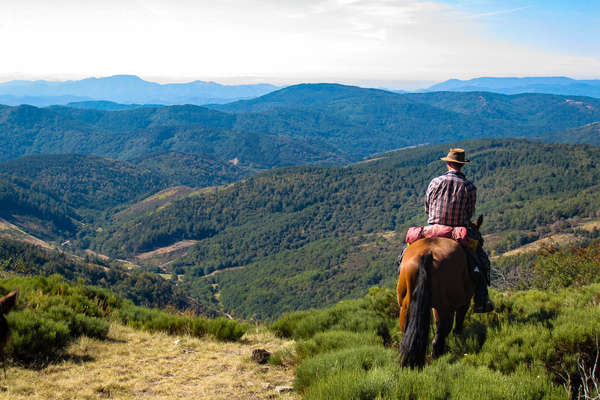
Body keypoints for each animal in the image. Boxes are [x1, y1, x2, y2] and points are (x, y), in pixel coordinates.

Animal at [398, 219, 482, 368]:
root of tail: (427, 253)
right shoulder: (463, 302)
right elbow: (458, 323)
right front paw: (458, 339)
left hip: (406, 304)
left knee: (406, 331)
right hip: (445, 308)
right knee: (440, 336)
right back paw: (437, 357)